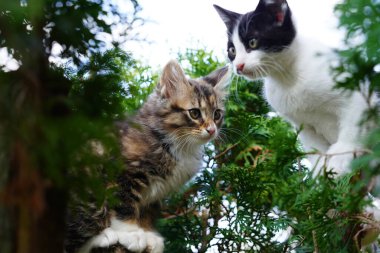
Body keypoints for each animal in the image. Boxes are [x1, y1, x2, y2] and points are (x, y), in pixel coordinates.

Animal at [64, 60, 229, 252]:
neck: (178, 144)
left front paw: (149, 235)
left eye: (217, 114)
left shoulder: (155, 196)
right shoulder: (123, 173)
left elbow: (146, 214)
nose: (212, 130)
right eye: (195, 113)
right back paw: (104, 235)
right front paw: (131, 233)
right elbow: (123, 205)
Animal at [214, 0, 374, 178]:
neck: (288, 77)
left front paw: (340, 158)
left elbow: (354, 126)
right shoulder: (302, 124)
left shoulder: (358, 93)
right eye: (232, 50)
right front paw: (320, 170)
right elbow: (313, 145)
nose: (238, 66)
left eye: (253, 42)